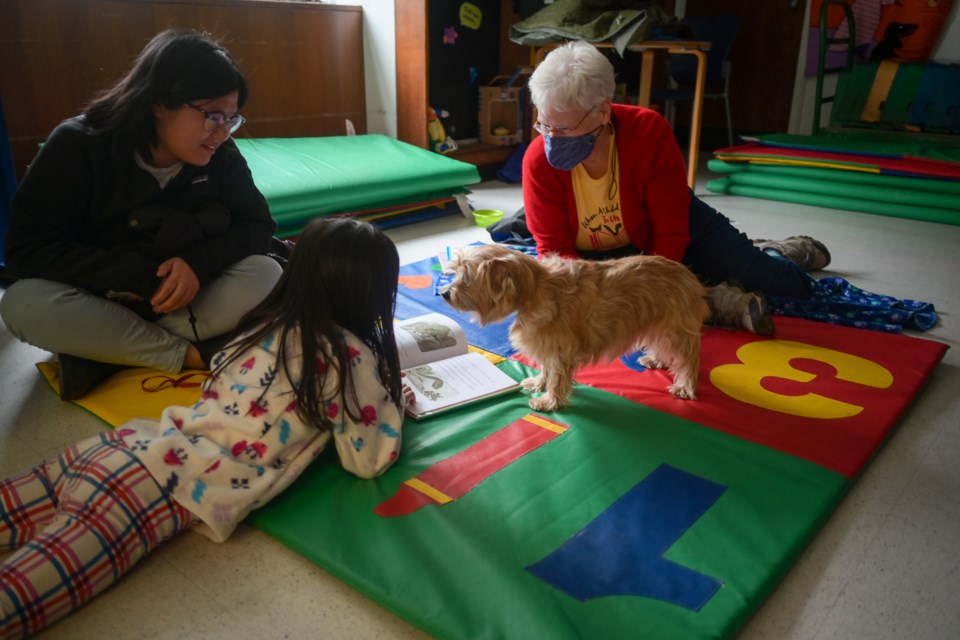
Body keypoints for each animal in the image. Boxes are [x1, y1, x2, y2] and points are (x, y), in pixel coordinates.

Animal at [438, 242, 708, 412]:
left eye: (467, 277)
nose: (443, 293)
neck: (535, 288)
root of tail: (690, 276)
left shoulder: (559, 350)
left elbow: (557, 377)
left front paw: (549, 401)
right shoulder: (547, 345)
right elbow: (546, 369)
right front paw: (538, 384)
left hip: (675, 329)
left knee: (688, 361)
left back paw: (685, 386)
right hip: (659, 325)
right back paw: (655, 359)